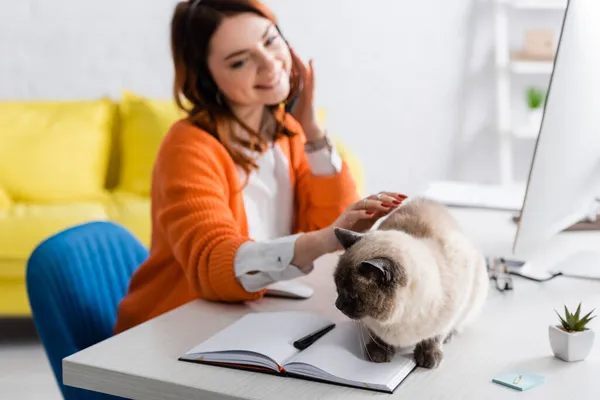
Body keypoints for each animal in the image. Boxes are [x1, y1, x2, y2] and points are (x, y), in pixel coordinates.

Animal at [332, 197, 488, 368]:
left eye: (352, 295)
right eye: (337, 288)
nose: (337, 304)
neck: (398, 321)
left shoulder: (450, 312)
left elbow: (434, 336)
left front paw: (429, 357)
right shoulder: (375, 327)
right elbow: (379, 338)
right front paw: (378, 353)